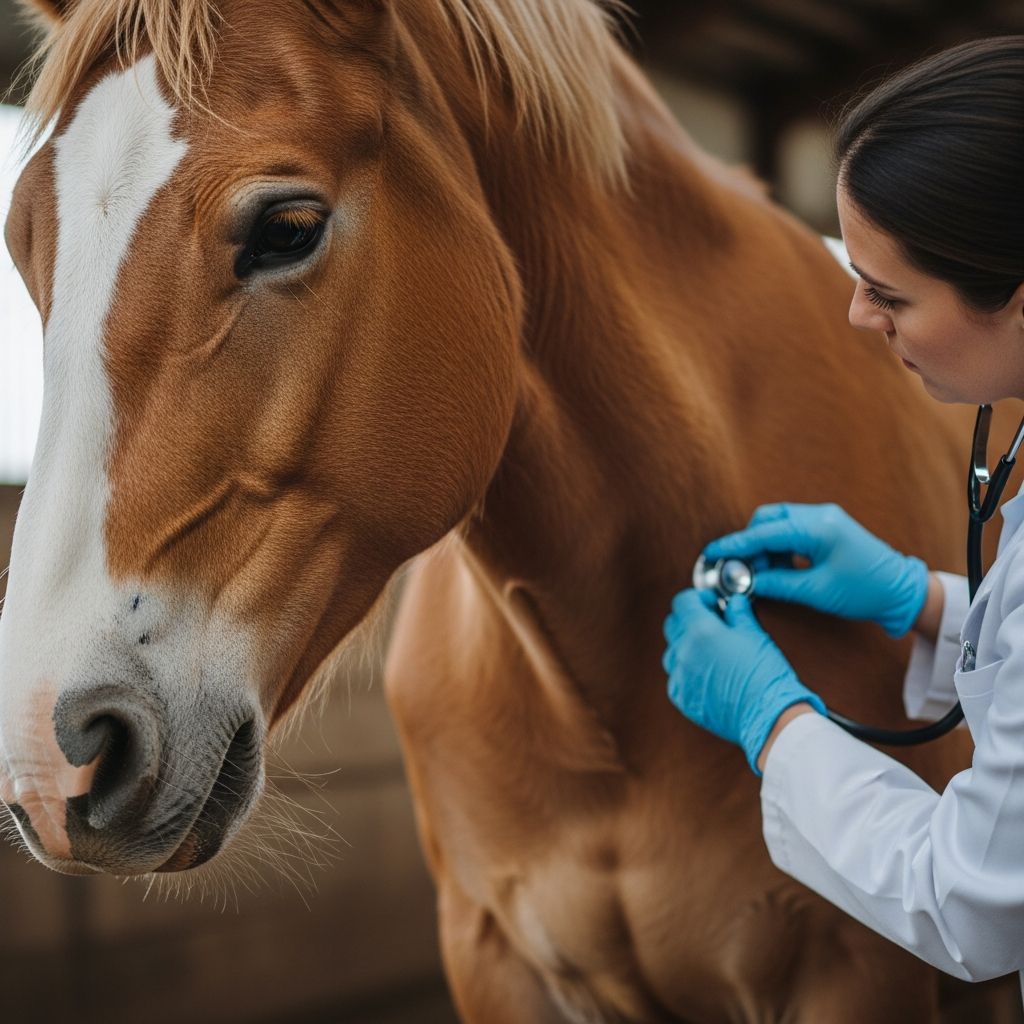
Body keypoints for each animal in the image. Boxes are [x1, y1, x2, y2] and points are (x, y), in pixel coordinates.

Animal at [1, 0, 1020, 1019]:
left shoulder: (856, 973)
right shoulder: (495, 956)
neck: (601, 709)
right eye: (22, 241)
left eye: (286, 228)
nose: (57, 755)